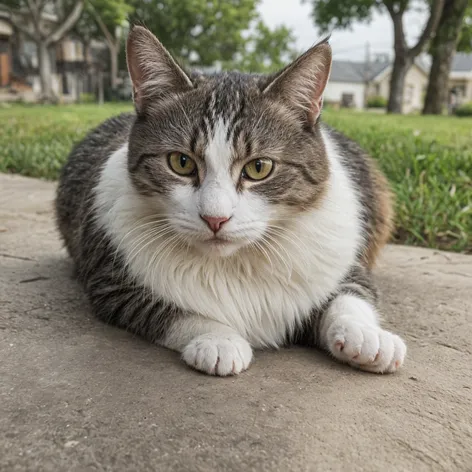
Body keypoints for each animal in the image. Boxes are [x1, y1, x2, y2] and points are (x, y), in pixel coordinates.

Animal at [56, 25, 406, 378]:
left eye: (259, 167)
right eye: (181, 162)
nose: (215, 219)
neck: (236, 262)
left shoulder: (342, 262)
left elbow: (351, 294)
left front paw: (365, 334)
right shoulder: (111, 283)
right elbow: (170, 311)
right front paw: (218, 338)